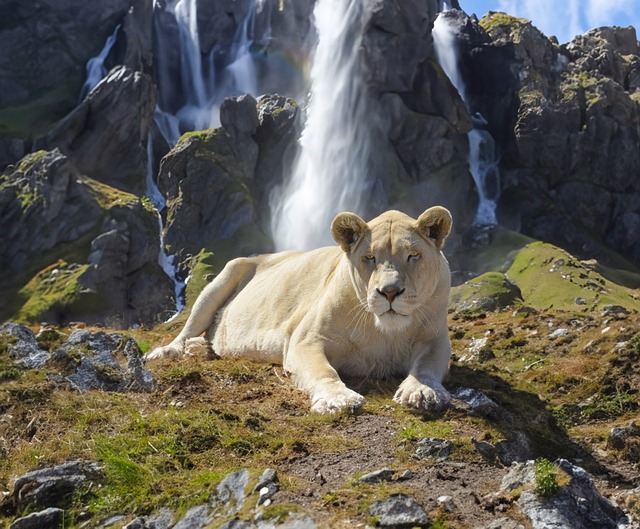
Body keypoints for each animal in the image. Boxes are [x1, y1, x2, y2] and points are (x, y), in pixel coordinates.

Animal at [148, 206, 452, 412]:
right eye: (369, 257)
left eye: (413, 255)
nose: (389, 292)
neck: (384, 331)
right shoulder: (306, 340)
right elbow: (322, 371)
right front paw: (337, 400)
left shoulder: (435, 338)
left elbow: (426, 364)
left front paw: (421, 391)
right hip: (223, 277)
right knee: (187, 329)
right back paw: (173, 351)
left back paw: (202, 349)